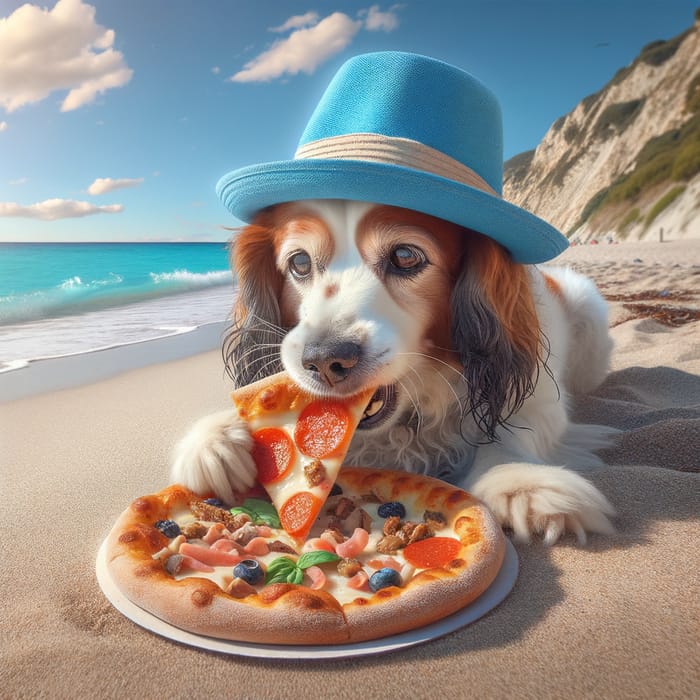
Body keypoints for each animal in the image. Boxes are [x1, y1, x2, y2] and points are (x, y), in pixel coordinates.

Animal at [168, 53, 612, 548]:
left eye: (404, 256)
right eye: (299, 263)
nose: (324, 361)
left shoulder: (538, 398)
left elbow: (512, 434)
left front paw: (520, 482)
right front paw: (216, 439)